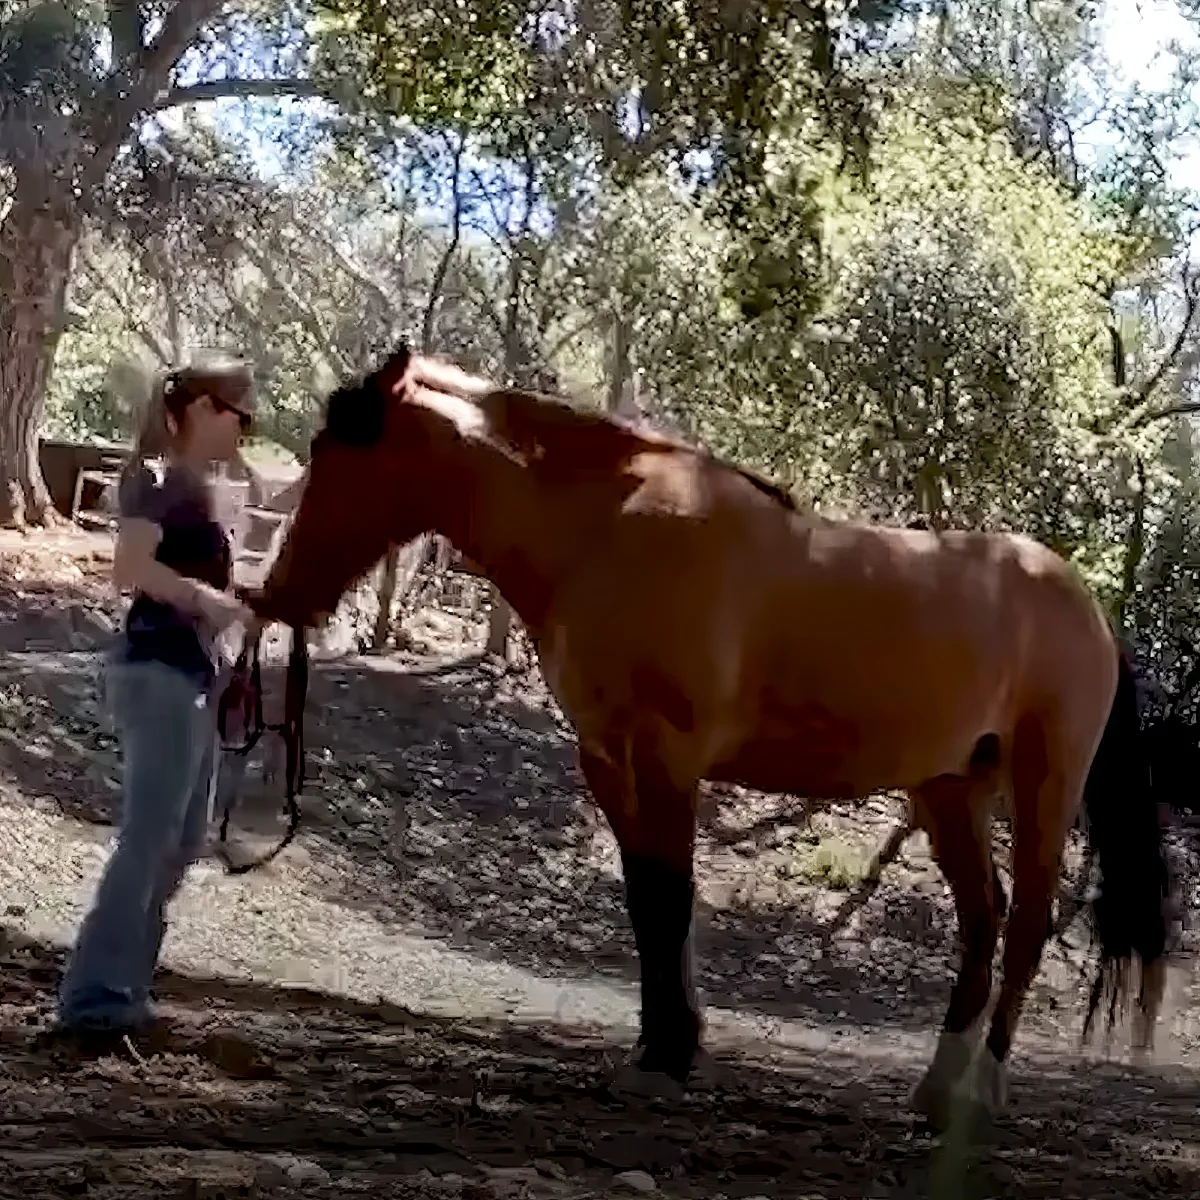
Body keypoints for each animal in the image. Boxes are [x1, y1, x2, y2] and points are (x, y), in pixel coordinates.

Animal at [248, 345, 1171, 1128]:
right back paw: (936, 1091)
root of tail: (1088, 609)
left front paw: (663, 1058)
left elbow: (670, 898)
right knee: (984, 922)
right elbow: (647, 899)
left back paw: (980, 1092)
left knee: (1025, 929)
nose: (278, 592)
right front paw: (669, 1044)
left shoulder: (667, 754)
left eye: (342, 451)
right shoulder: (606, 756)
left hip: (1046, 785)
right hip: (950, 792)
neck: (608, 530)